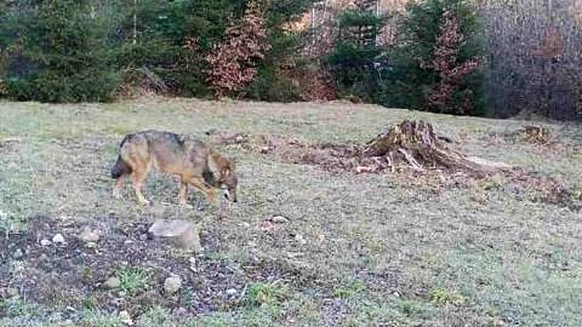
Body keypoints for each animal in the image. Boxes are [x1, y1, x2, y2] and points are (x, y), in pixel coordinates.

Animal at [110, 130, 238, 205]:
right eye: (231, 187)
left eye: (235, 188)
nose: (236, 201)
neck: (207, 160)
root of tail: (129, 136)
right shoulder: (189, 178)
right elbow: (210, 190)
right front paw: (214, 202)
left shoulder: (184, 178)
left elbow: (184, 193)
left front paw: (183, 205)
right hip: (142, 171)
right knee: (135, 186)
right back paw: (143, 201)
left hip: (130, 170)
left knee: (118, 181)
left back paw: (116, 196)